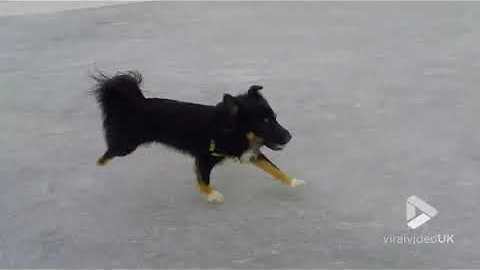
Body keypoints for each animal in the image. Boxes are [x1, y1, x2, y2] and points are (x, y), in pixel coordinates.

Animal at [92, 71, 304, 202]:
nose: (289, 137)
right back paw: (99, 167)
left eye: (274, 117)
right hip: (126, 145)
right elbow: (203, 182)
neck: (227, 129)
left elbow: (274, 169)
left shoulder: (249, 153)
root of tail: (137, 103)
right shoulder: (203, 158)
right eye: (264, 122)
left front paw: (293, 182)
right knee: (105, 155)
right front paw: (212, 196)